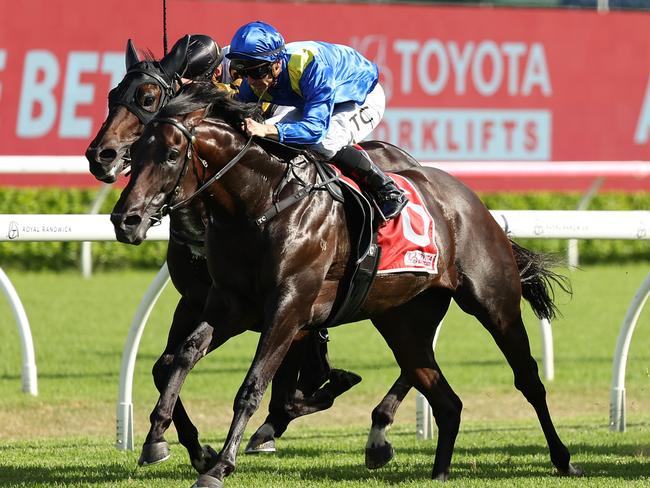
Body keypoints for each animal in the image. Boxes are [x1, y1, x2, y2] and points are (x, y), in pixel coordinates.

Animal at [109, 82, 580, 486]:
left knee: (528, 378)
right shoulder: (229, 304)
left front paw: (219, 465)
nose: (124, 219)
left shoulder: (289, 307)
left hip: (494, 303)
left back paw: (563, 458)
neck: (260, 203)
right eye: (137, 150)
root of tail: (472, 202)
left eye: (172, 154)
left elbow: (253, 387)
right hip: (404, 322)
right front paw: (157, 437)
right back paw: (435, 470)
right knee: (444, 398)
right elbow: (183, 356)